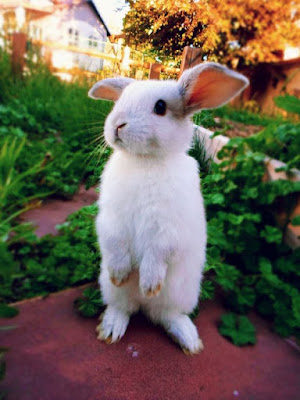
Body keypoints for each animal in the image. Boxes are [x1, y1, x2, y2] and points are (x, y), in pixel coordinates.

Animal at [88, 61, 247, 354]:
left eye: (160, 107)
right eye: (121, 100)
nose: (117, 125)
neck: (144, 161)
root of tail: (144, 307)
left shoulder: (169, 228)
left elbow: (158, 252)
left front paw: (149, 283)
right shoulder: (111, 218)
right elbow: (114, 241)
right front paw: (120, 272)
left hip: (182, 293)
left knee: (167, 315)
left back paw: (188, 338)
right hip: (112, 290)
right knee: (123, 308)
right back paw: (112, 328)